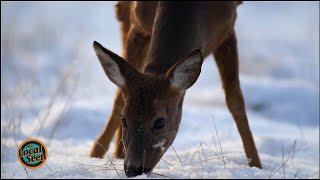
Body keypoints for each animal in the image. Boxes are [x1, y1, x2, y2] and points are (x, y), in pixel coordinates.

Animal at [89, 0, 262, 176]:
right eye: (123, 119)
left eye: (160, 122)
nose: (132, 169)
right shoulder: (138, 26)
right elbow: (119, 96)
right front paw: (96, 154)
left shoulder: (228, 29)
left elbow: (235, 101)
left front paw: (256, 165)